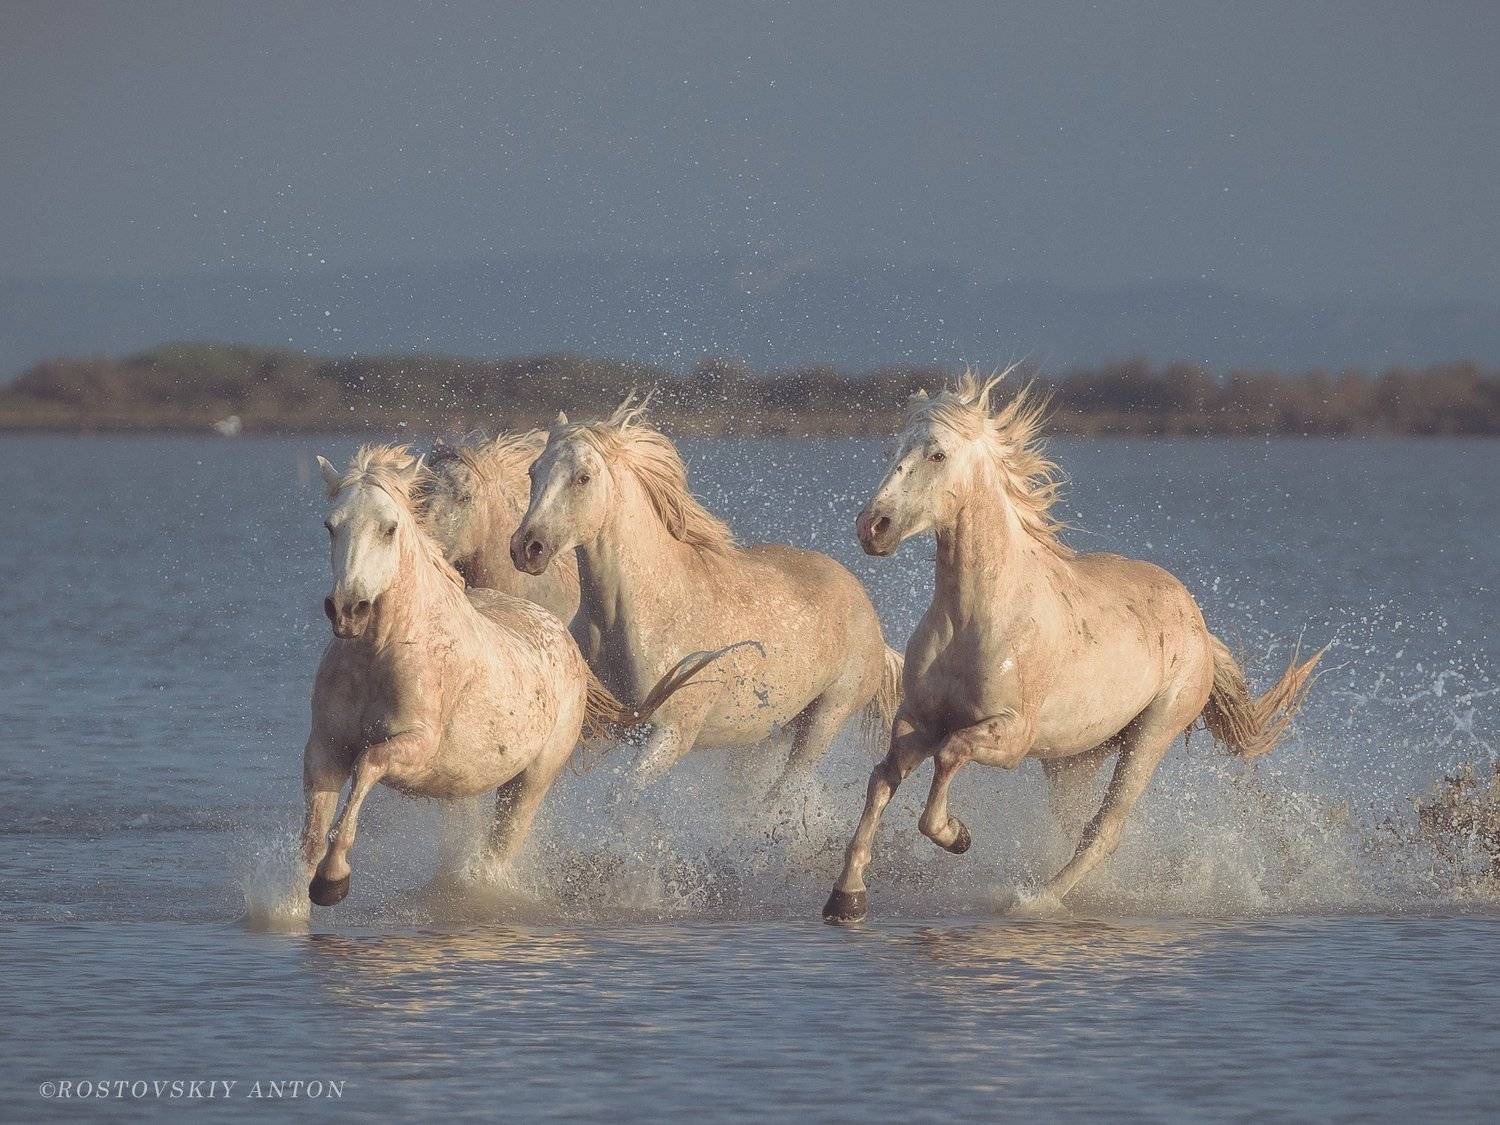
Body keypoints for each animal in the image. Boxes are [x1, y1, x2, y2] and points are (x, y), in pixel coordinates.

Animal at [510, 395, 903, 792]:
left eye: (583, 477)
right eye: (533, 473)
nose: (527, 548)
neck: (635, 614)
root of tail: (871, 616)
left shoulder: (670, 736)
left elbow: (621, 797)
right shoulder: (588, 719)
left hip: (822, 723)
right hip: (768, 734)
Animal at [823, 371, 1324, 923]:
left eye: (937, 454)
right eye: (893, 449)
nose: (873, 527)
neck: (977, 616)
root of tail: (1197, 622)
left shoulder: (1011, 736)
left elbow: (951, 756)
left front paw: (957, 836)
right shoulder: (917, 721)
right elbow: (882, 778)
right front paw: (846, 898)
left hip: (1153, 732)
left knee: (1103, 830)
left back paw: (1038, 899)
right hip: (1074, 758)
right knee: (1075, 824)